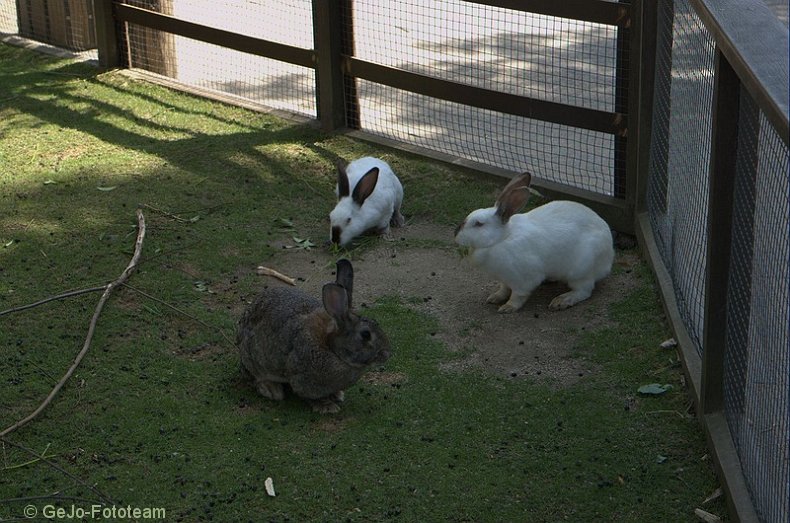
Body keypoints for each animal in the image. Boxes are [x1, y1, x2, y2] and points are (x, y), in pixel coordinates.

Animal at [454, 174, 616, 316]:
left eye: (479, 224)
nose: (455, 233)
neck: (501, 239)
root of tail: (609, 256)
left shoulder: (523, 280)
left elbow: (517, 296)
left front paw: (508, 307)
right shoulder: (504, 279)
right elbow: (504, 289)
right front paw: (494, 297)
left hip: (581, 270)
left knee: (584, 290)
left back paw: (561, 301)